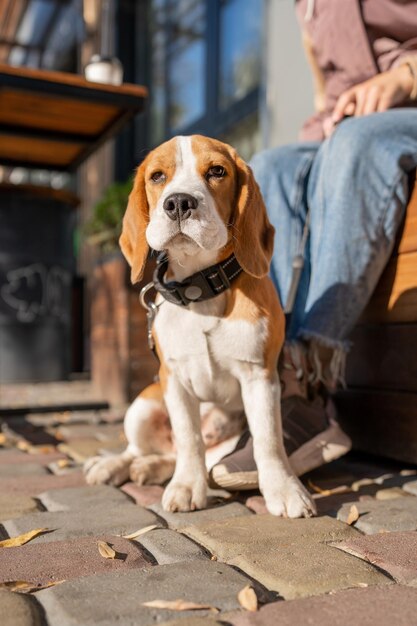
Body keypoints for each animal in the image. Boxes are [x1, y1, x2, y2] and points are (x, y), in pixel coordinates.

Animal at [84, 135, 314, 516]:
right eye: (158, 176)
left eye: (217, 171)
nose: (178, 202)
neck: (201, 287)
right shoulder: (174, 381)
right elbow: (189, 439)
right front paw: (186, 487)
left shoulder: (260, 377)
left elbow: (268, 440)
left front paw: (284, 490)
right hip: (142, 405)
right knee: (147, 448)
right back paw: (115, 465)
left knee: (194, 458)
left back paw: (149, 468)